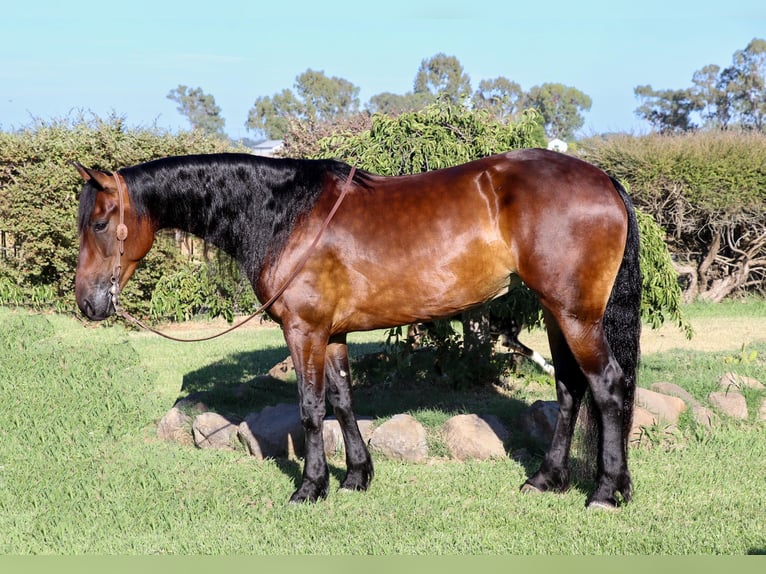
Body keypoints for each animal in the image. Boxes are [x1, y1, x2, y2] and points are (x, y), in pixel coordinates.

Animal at [76, 150, 640, 512]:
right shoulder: (333, 334)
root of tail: (604, 181)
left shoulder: (303, 331)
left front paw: (310, 488)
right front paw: (356, 477)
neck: (285, 214)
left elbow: (310, 408)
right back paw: (546, 480)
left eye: (99, 224)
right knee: (569, 389)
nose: (87, 303)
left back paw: (605, 493)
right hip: (556, 313)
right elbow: (343, 402)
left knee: (607, 387)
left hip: (576, 315)